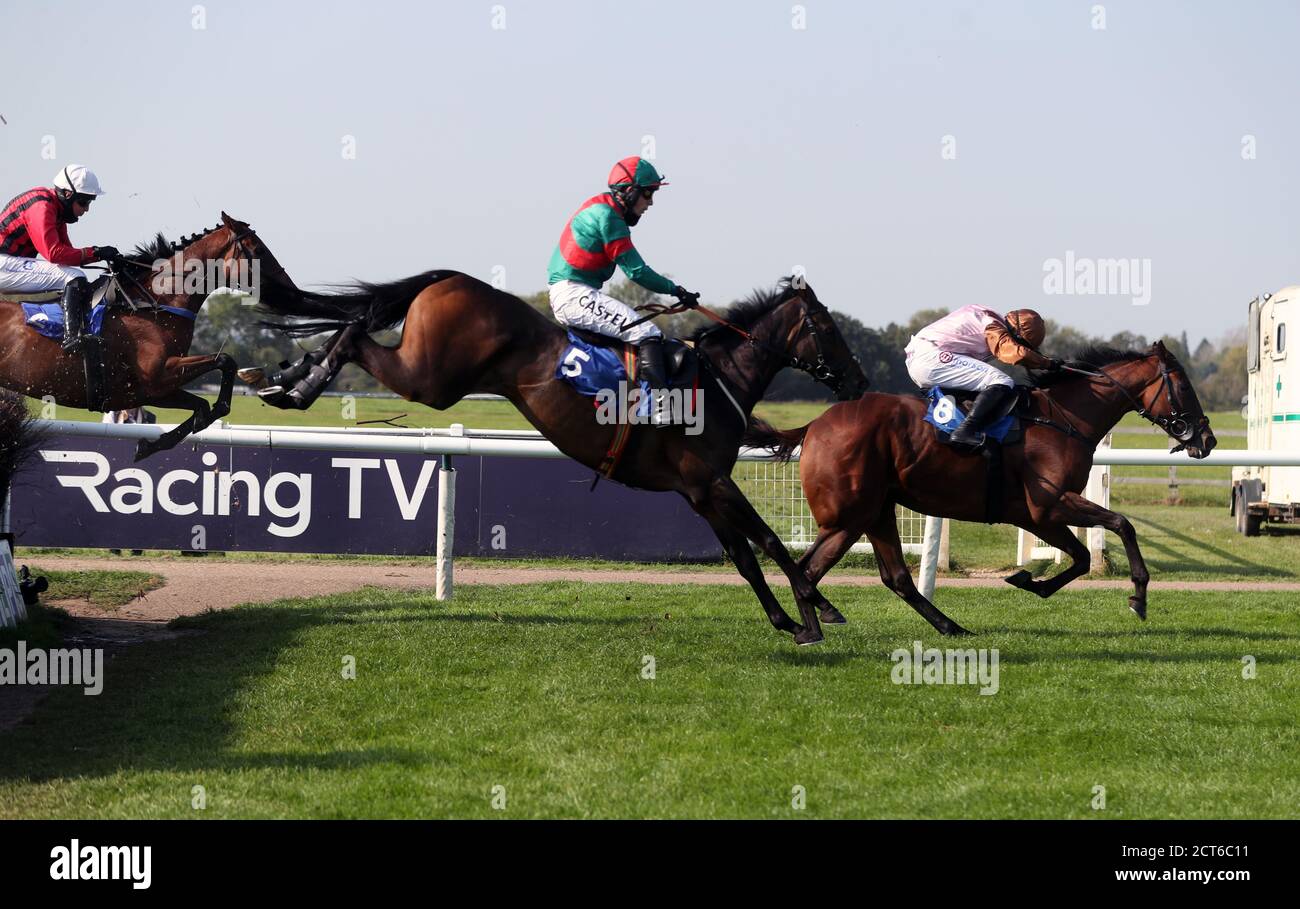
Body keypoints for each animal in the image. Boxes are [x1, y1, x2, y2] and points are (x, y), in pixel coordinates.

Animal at [0, 214, 296, 462]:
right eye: (258, 250)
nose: (290, 289)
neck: (153, 304)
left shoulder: (147, 392)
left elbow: (202, 406)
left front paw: (152, 444)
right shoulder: (155, 378)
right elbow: (225, 360)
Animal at [241, 274, 873, 642]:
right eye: (828, 327)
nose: (860, 383)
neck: (716, 381)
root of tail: (451, 278)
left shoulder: (698, 490)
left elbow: (744, 557)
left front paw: (788, 619)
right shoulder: (712, 481)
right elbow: (766, 541)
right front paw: (818, 610)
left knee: (350, 326)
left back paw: (284, 378)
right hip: (431, 378)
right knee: (352, 334)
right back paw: (297, 385)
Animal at [743, 340, 1216, 632]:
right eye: (1184, 386)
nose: (1207, 439)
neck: (1063, 418)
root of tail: (814, 425)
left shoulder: (1035, 515)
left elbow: (1082, 557)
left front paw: (1031, 581)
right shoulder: (1048, 505)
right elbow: (1121, 525)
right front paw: (1138, 597)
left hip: (873, 513)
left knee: (889, 576)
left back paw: (947, 626)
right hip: (849, 517)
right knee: (810, 570)